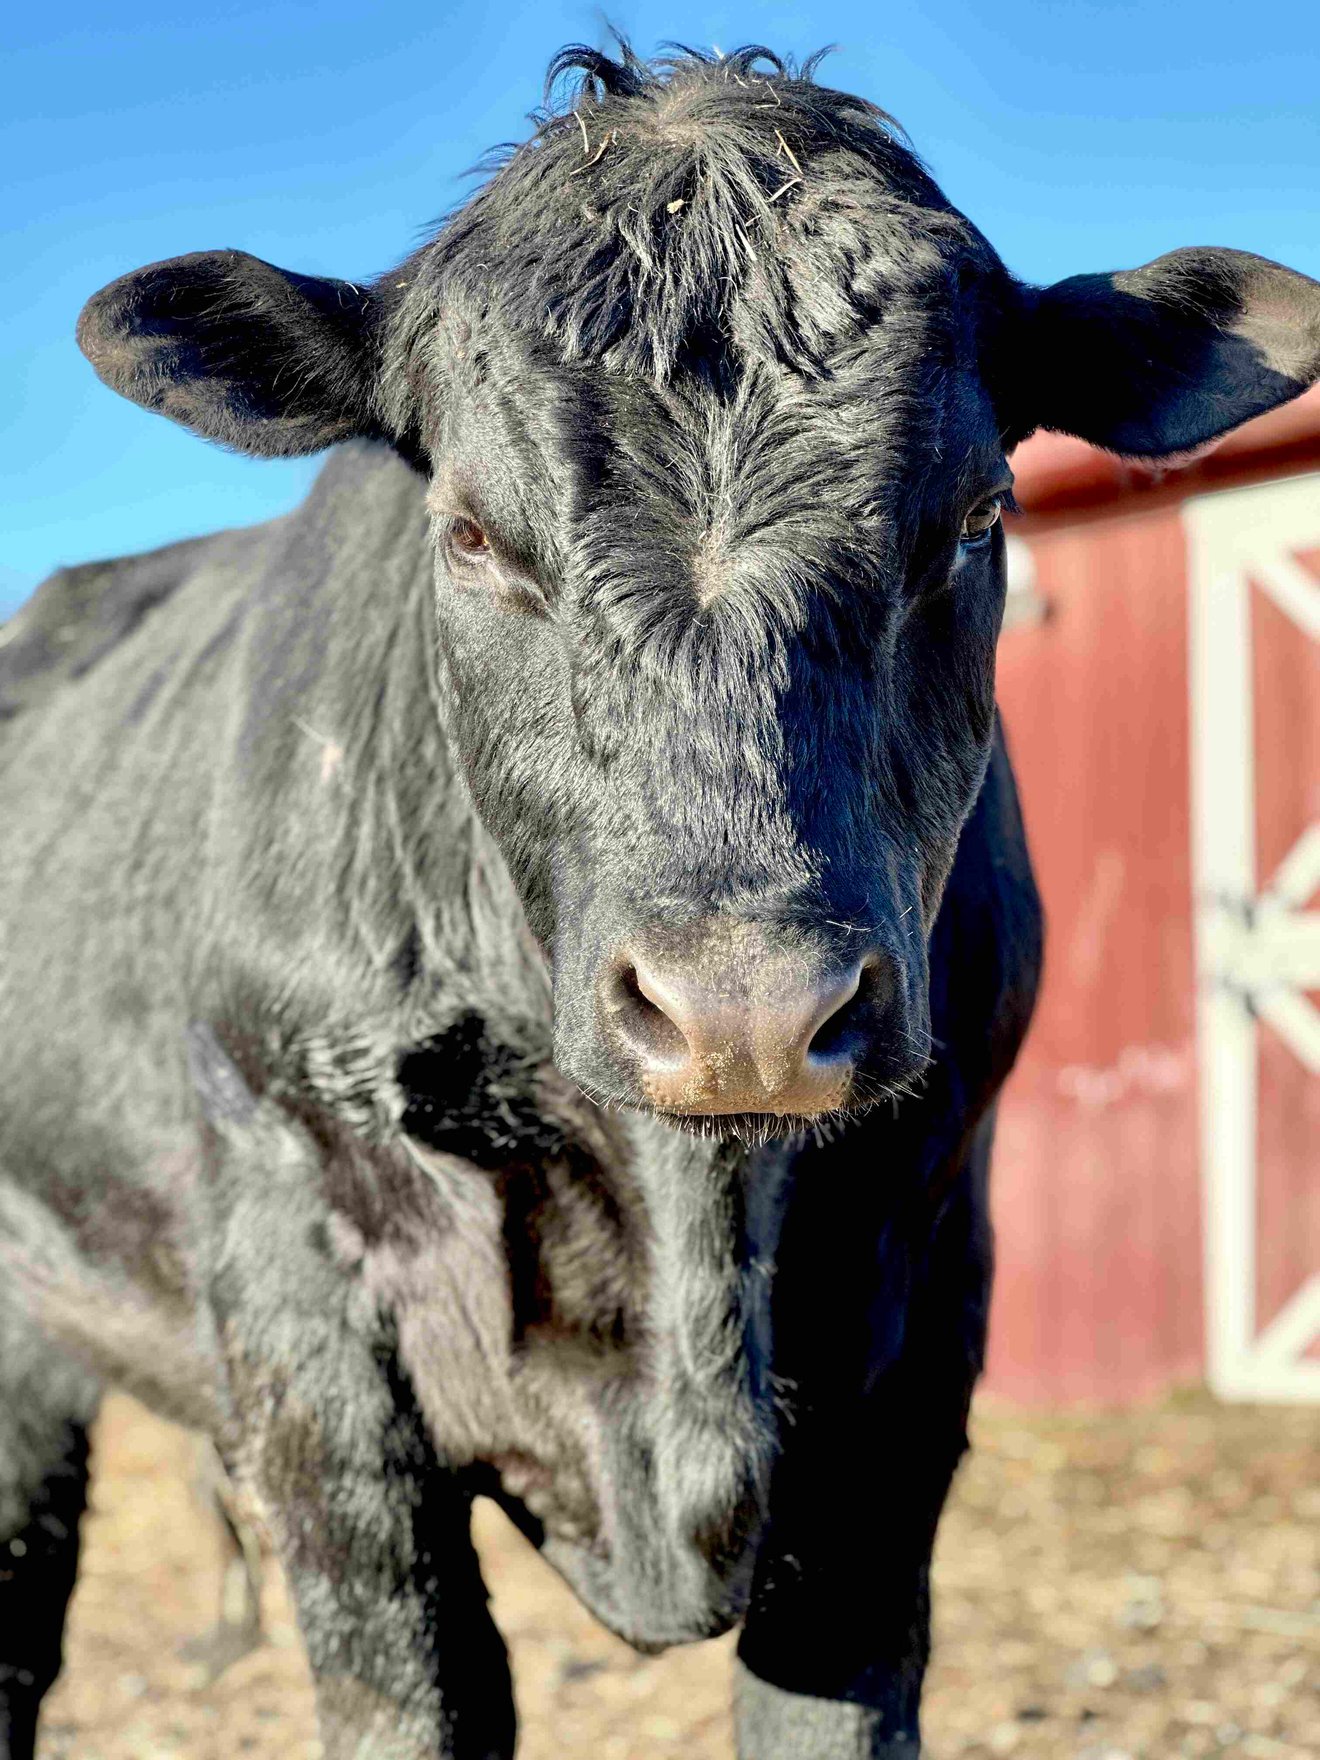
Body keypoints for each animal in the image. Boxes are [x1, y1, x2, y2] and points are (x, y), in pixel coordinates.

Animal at [2, 41, 1318, 1760]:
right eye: (470, 534)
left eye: (976, 521)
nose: (744, 1013)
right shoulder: (306, 1309)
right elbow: (410, 1689)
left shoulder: (917, 1328)